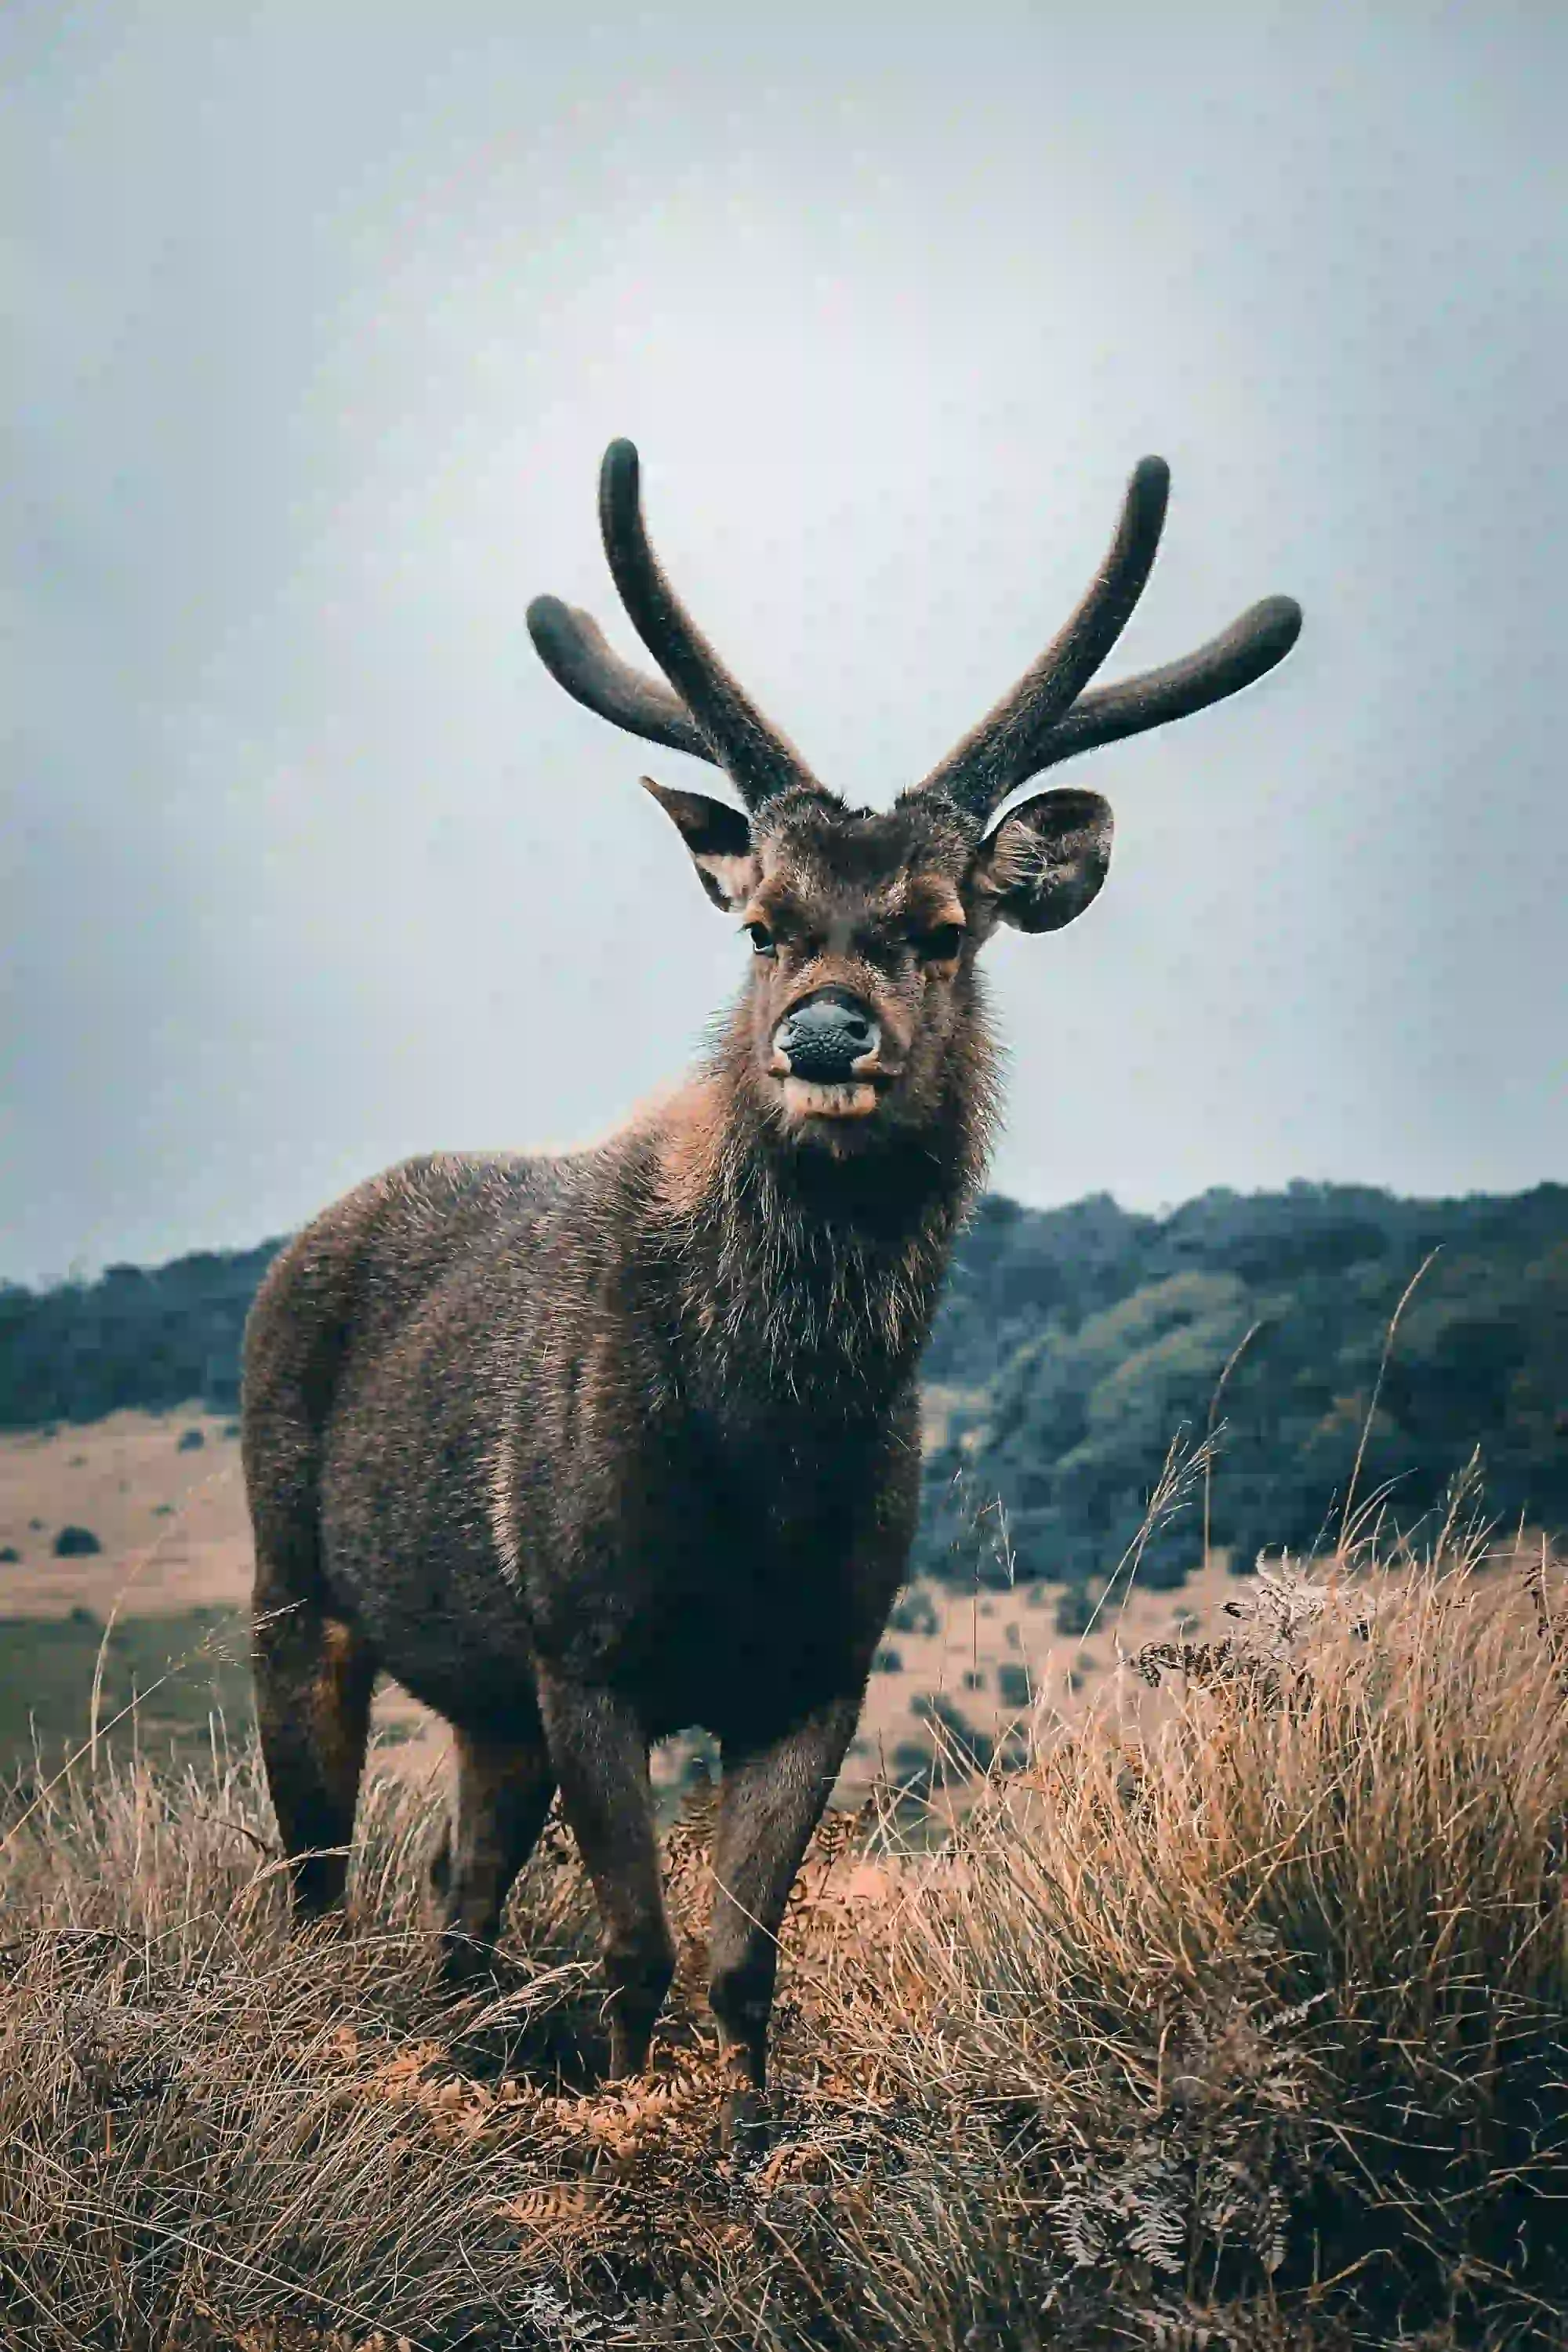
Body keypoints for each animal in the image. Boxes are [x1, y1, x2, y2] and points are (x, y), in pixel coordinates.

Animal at [241, 438, 1301, 2139]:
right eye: (761, 925)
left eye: (944, 927)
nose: (821, 1034)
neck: (765, 1455)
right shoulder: (583, 1638)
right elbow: (636, 1950)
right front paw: (625, 2148)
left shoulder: (820, 1664)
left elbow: (743, 1968)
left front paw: (741, 2154)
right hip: (293, 1580)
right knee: (320, 1874)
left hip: (482, 1697)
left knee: (457, 1887)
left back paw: (456, 2044)